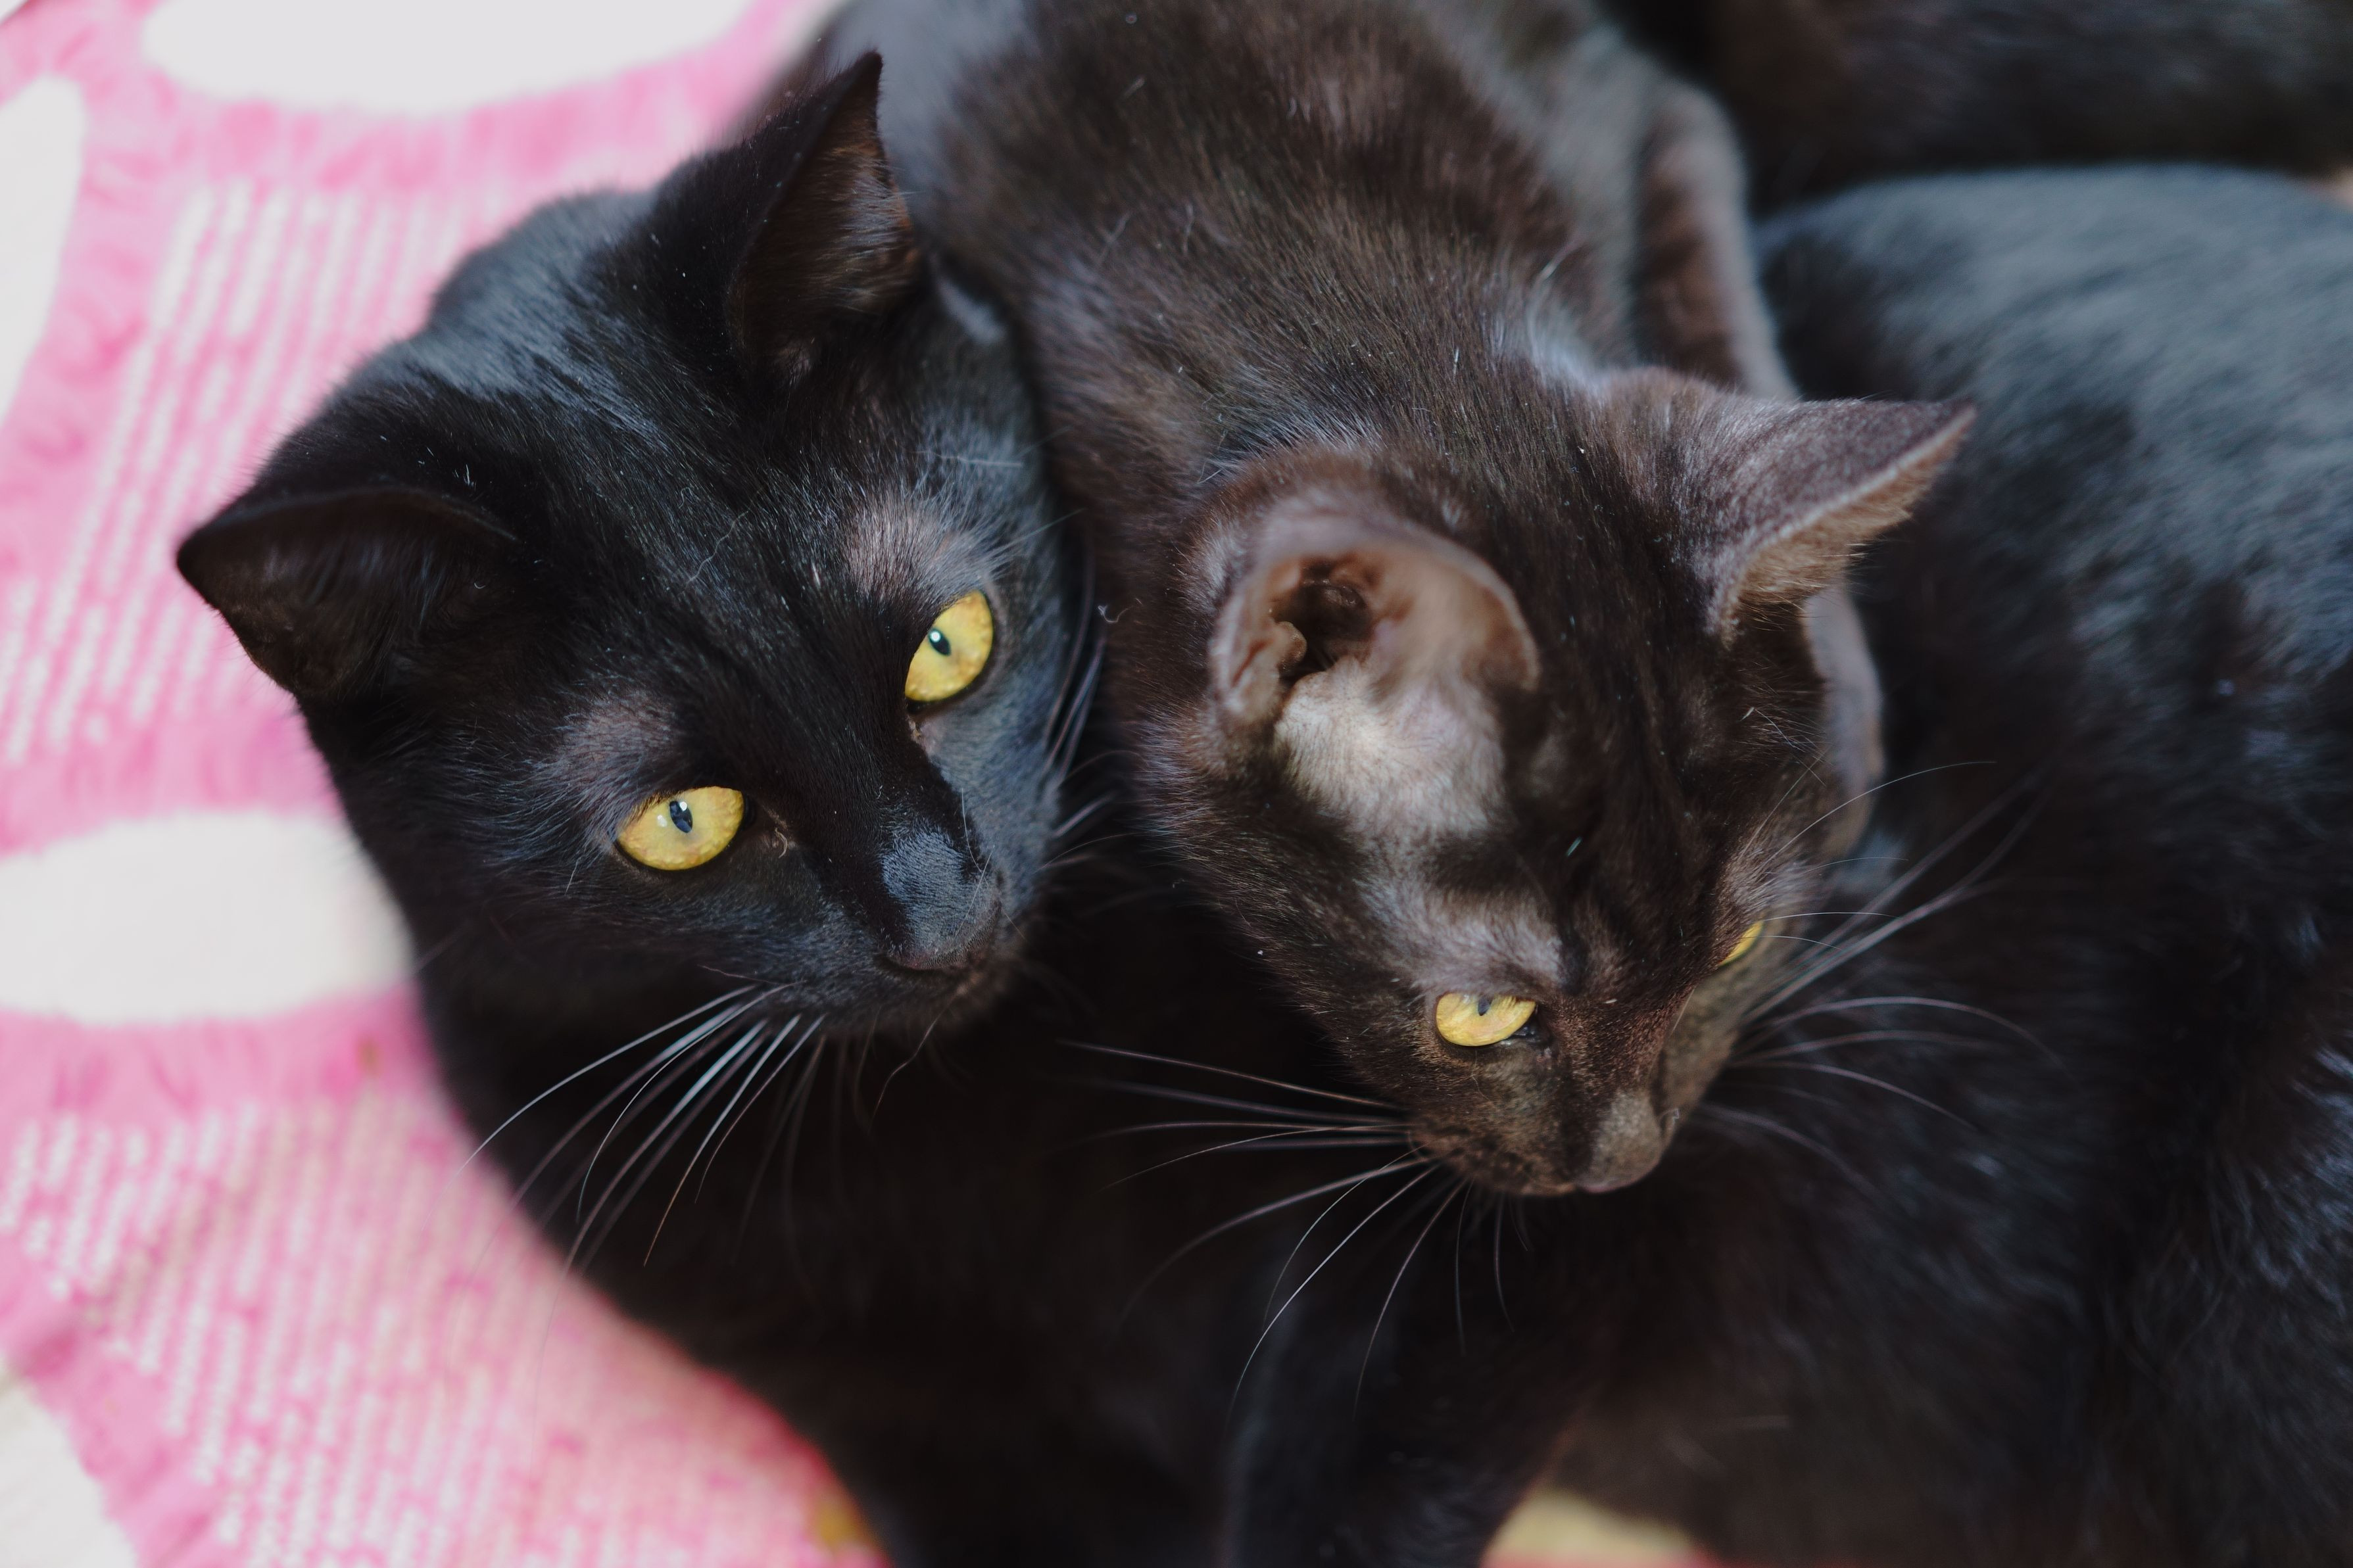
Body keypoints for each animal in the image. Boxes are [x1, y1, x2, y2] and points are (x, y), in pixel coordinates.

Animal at [815, 0, 1971, 1204]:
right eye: (1482, 1016)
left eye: (1735, 953)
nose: (1624, 1165)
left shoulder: (1649, 113)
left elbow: (1721, 305)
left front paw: (1843, 729)